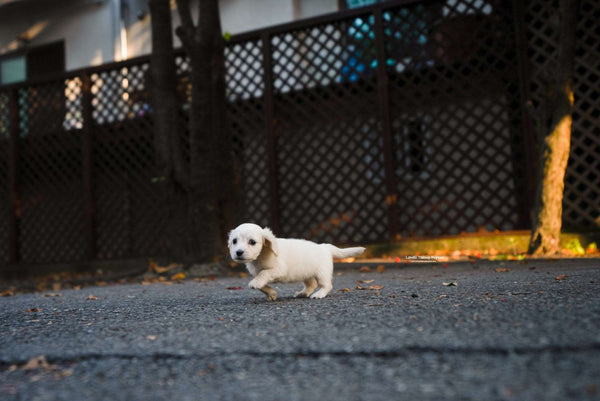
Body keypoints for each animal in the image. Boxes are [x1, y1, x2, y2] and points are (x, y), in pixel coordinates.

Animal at [227, 222, 364, 300]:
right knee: (312, 284)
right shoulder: (257, 272)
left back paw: (319, 294)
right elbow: (262, 285)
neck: (261, 255)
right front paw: (272, 294)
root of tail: (325, 246)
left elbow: (264, 273)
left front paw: (256, 283)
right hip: (306, 273)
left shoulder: (278, 270)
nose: (238, 252)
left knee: (326, 285)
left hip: (322, 273)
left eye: (252, 242)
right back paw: (302, 293)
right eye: (234, 241)